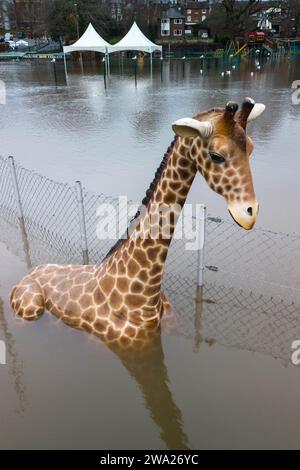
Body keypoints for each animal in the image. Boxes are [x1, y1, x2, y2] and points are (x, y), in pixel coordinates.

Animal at [10, 98, 266, 348]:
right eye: (216, 155)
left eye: (252, 148)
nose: (249, 213)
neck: (146, 297)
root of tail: (29, 273)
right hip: (29, 310)